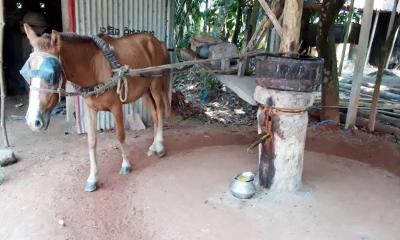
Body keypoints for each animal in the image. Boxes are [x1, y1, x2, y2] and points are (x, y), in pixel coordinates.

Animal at [23, 23, 170, 191]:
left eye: (52, 73)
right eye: (26, 69)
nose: (33, 121)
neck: (93, 67)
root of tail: (157, 42)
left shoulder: (116, 107)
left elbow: (120, 135)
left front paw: (126, 164)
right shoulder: (90, 109)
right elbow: (92, 141)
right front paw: (93, 178)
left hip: (155, 84)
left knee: (160, 111)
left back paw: (160, 146)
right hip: (144, 90)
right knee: (154, 114)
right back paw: (153, 146)